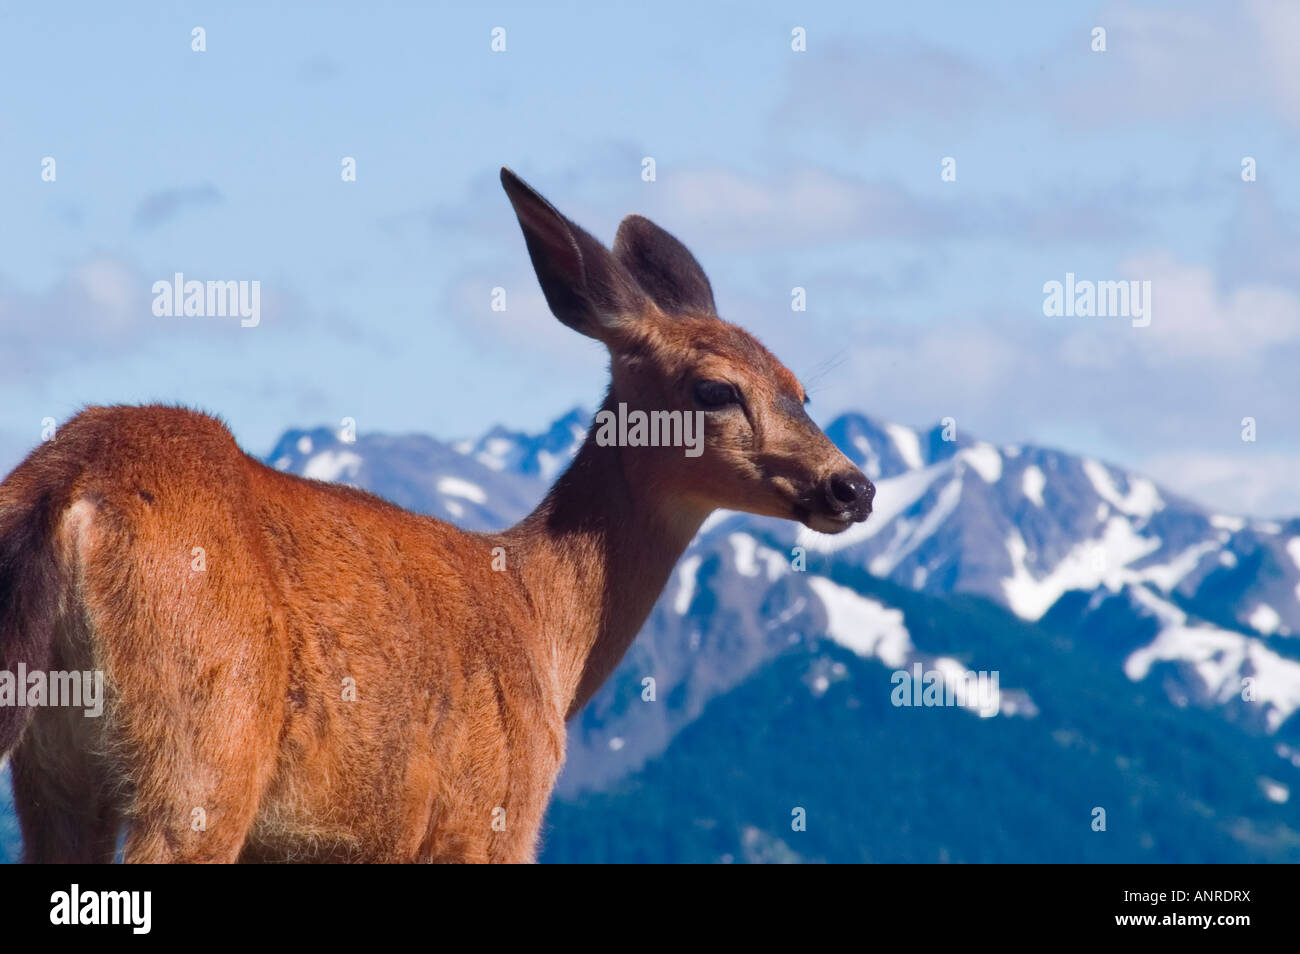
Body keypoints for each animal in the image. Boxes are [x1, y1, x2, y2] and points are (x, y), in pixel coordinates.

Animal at [0, 169, 874, 863]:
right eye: (716, 388)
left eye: (801, 387)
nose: (853, 488)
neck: (543, 624)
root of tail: (71, 481)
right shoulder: (490, 817)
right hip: (206, 745)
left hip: (53, 770)